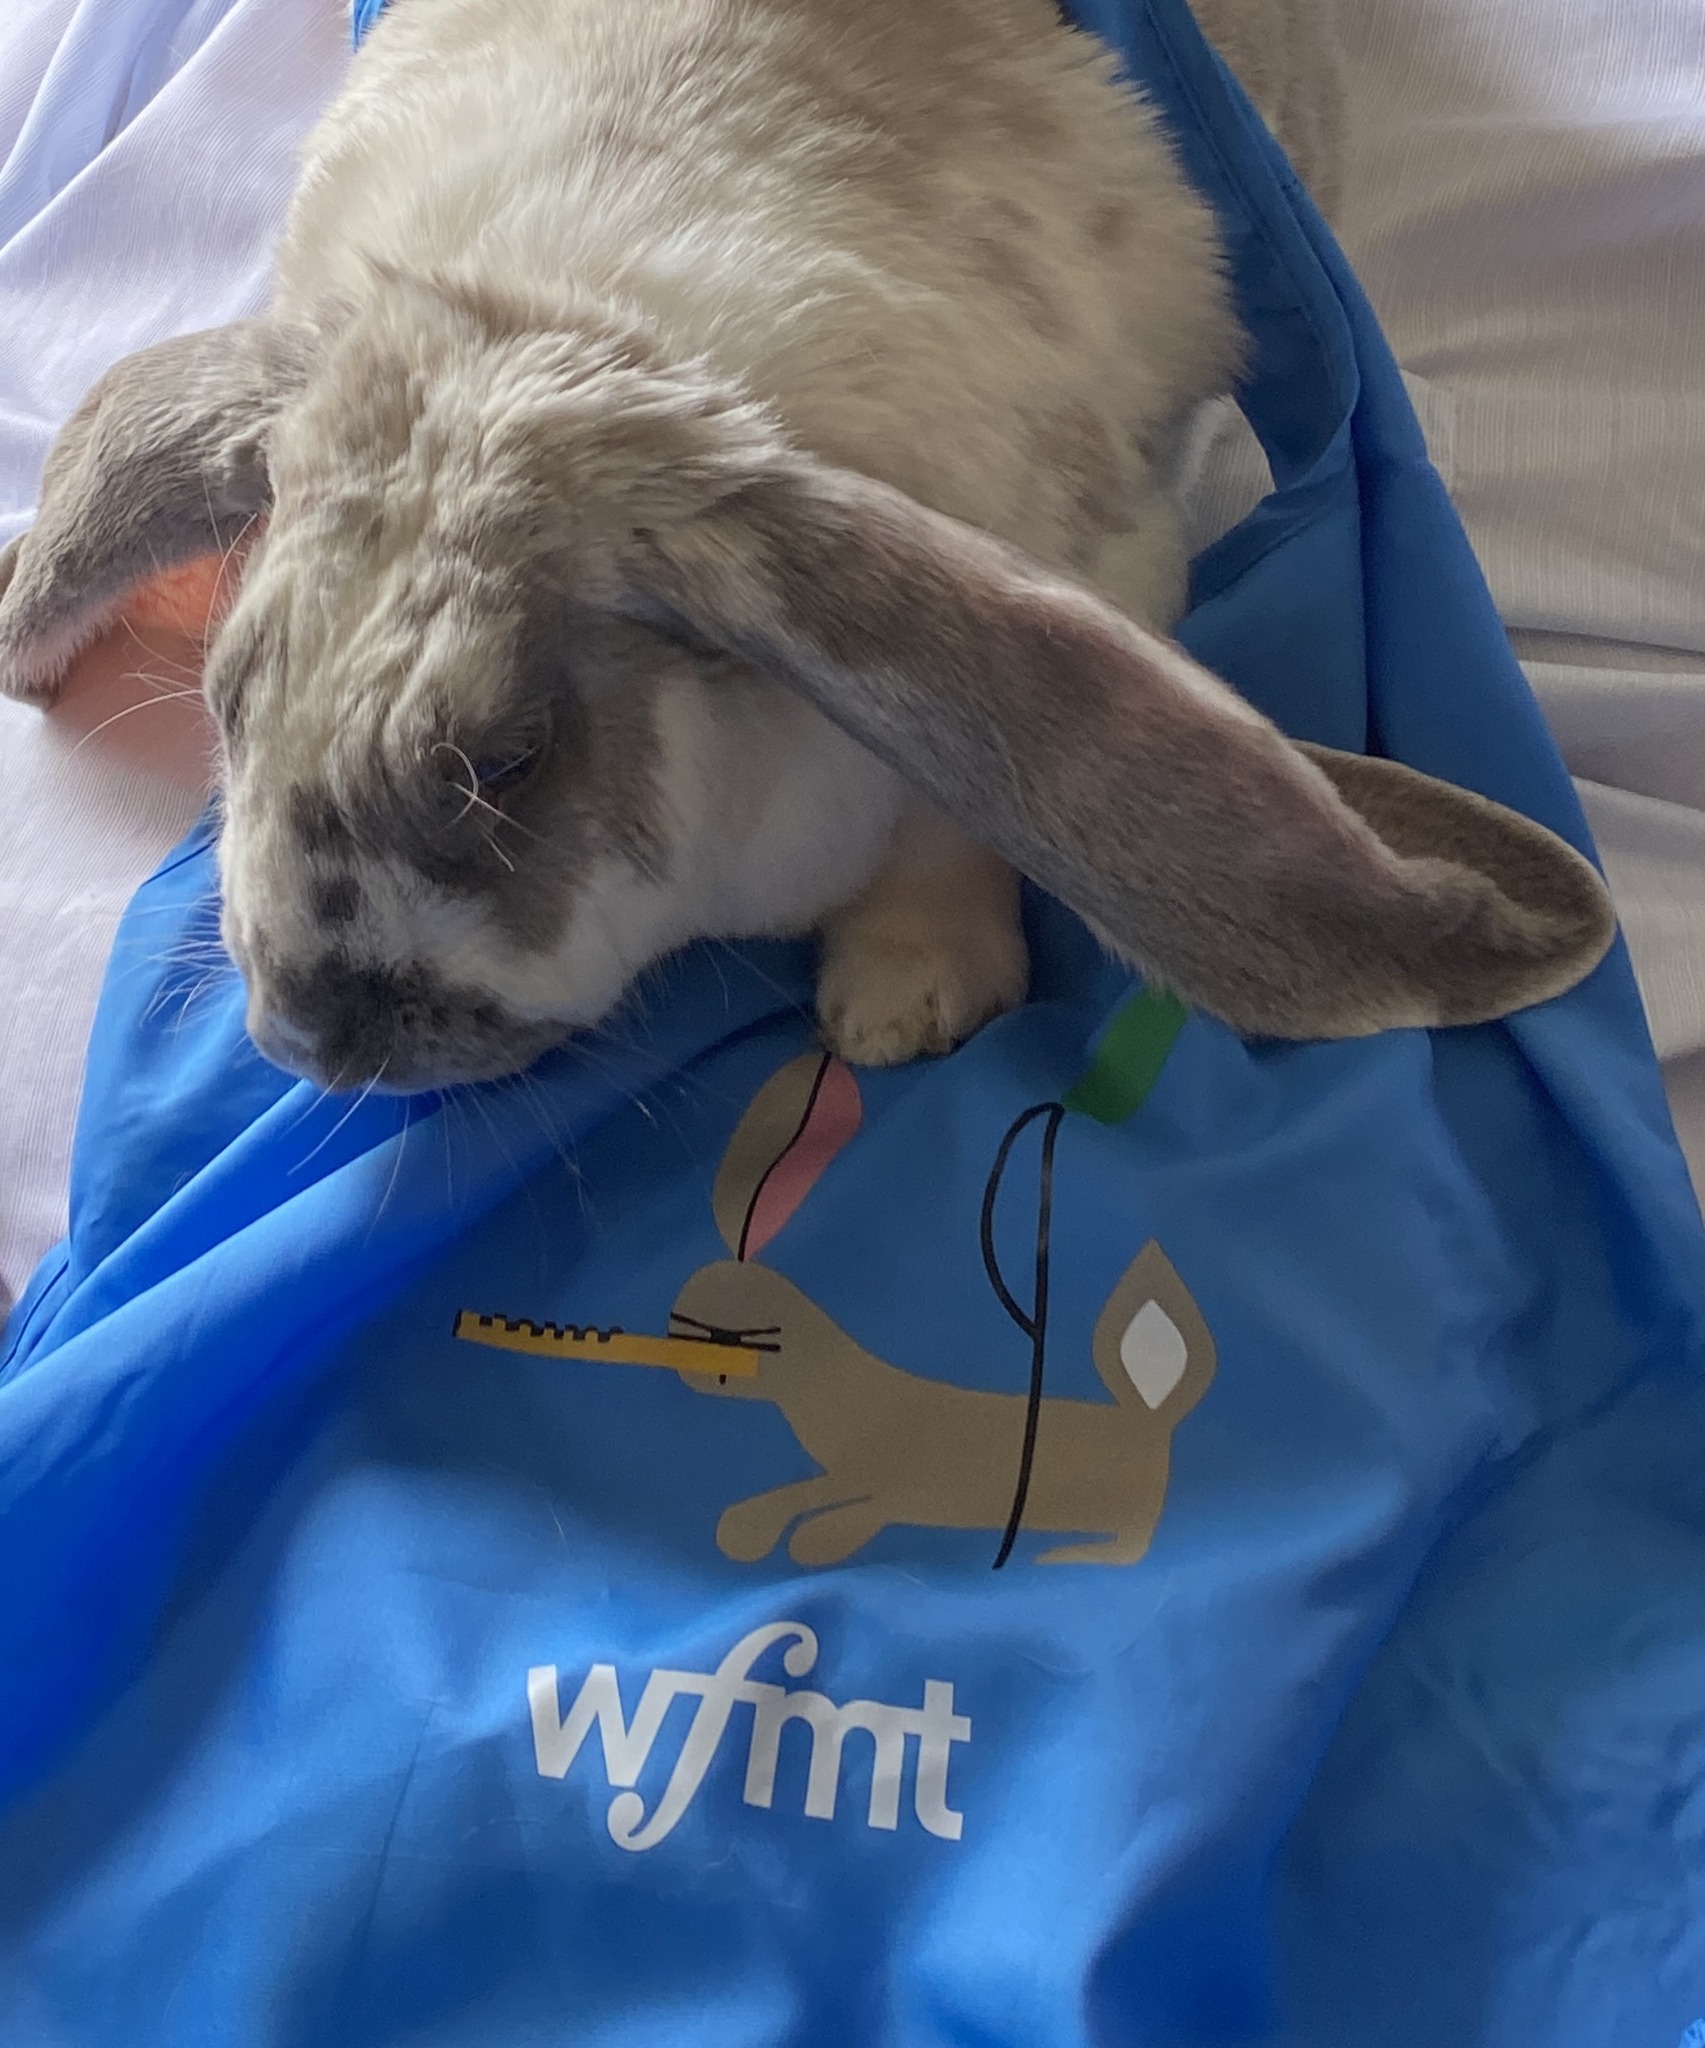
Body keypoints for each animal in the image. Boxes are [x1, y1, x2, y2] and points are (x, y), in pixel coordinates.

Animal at [0, 0, 1611, 1095]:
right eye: (225, 700)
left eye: (507, 760)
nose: (303, 1038)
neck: (572, 314)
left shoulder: (1102, 556)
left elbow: (960, 803)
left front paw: (904, 1002)